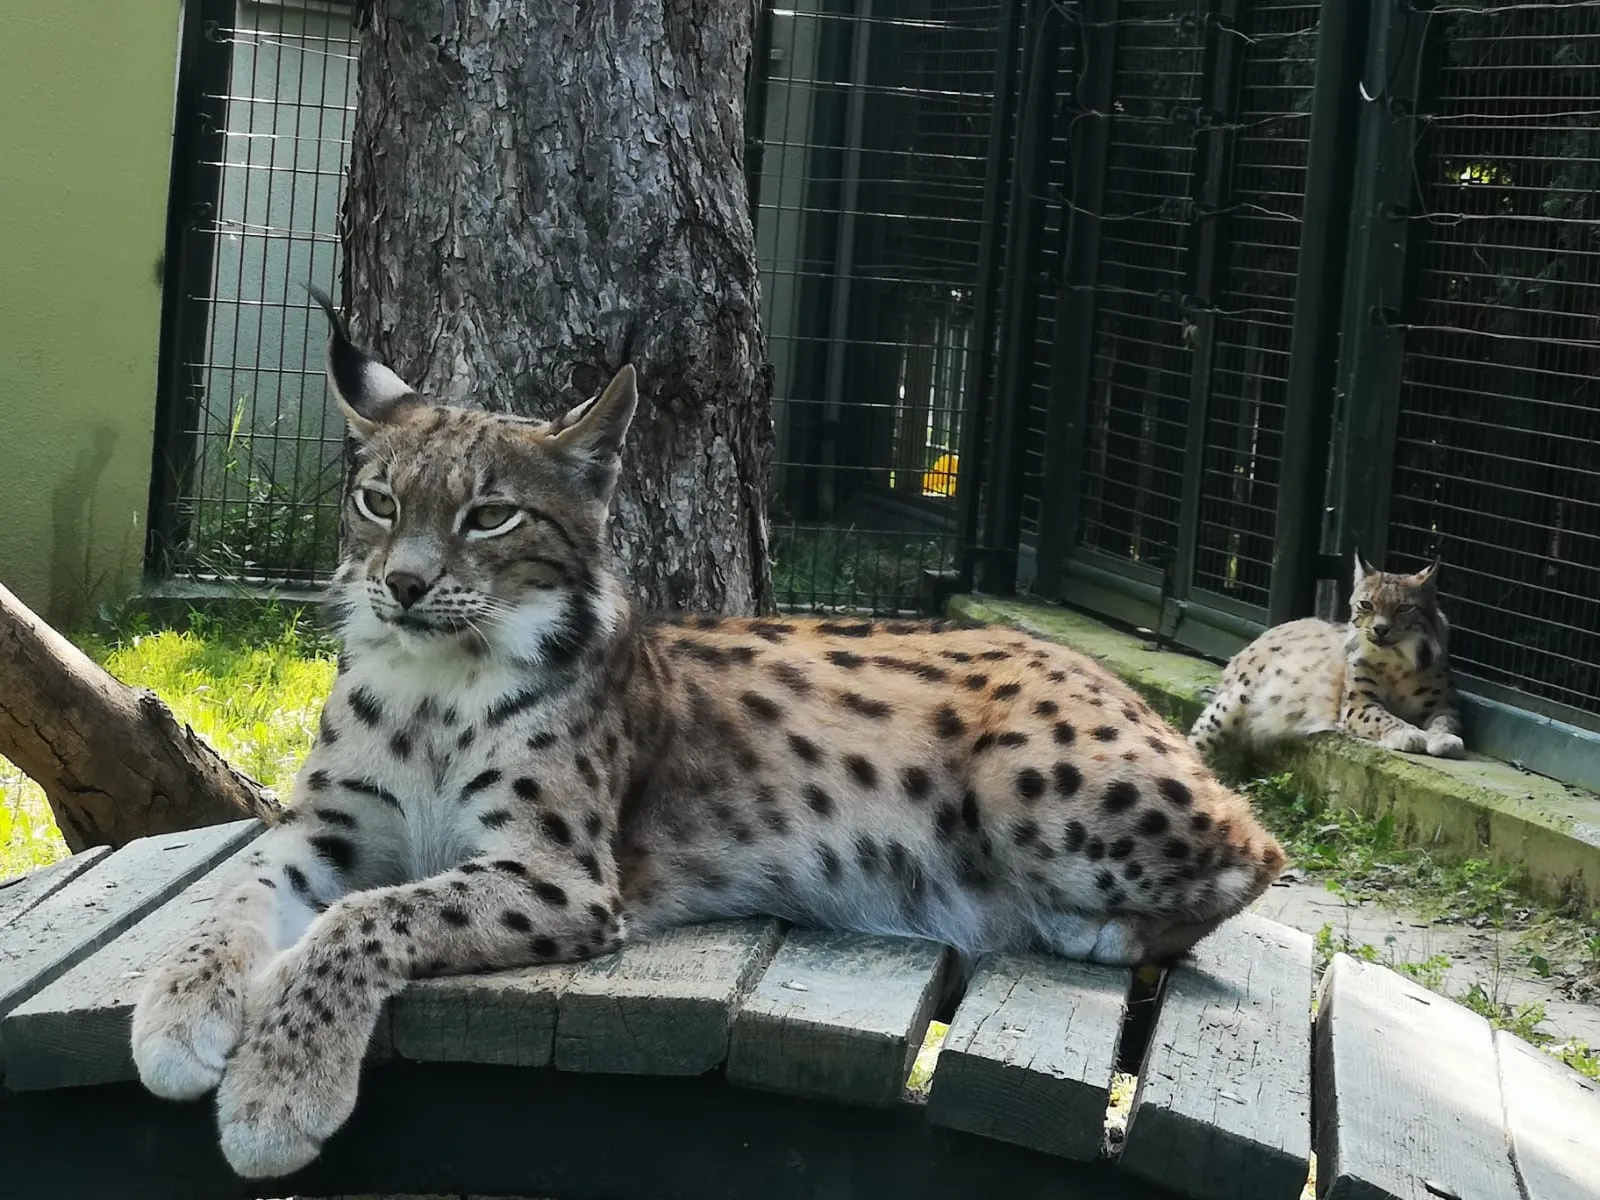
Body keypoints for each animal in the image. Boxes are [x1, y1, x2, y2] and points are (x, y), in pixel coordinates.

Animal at [130, 290, 1287, 1181]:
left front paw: (277, 1095)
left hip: (1035, 780)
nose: (404, 586)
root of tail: (1080, 656)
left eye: (490, 517)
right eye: (378, 502)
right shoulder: (325, 827)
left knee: (1262, 846)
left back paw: (1095, 931)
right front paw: (180, 1011)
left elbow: (365, 917)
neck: (432, 680)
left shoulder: (559, 872)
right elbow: (227, 896)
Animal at [1188, 551, 1465, 761]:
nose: (1380, 629)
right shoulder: (1358, 704)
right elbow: (1385, 717)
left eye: (1404, 608)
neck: (1397, 657)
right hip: (1235, 699)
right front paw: (1408, 733)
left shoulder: (1443, 705)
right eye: (1367, 605)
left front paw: (1443, 738)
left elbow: (1446, 722)